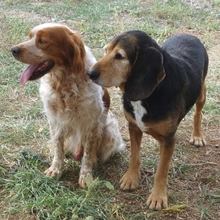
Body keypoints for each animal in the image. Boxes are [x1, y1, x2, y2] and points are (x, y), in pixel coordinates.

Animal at [11, 23, 124, 186]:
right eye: (30, 37)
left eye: (42, 41)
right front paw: (56, 169)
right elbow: (59, 149)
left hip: (110, 133)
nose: (13, 50)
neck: (63, 83)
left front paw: (85, 175)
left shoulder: (92, 125)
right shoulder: (55, 121)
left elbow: (88, 154)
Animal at [87, 30, 208, 210]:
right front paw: (131, 178)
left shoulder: (169, 139)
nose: (89, 74)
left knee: (198, 113)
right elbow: (135, 157)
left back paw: (198, 135)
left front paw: (158, 196)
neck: (149, 95)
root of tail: (188, 34)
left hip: (202, 92)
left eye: (120, 56)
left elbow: (161, 171)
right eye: (106, 50)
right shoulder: (133, 127)